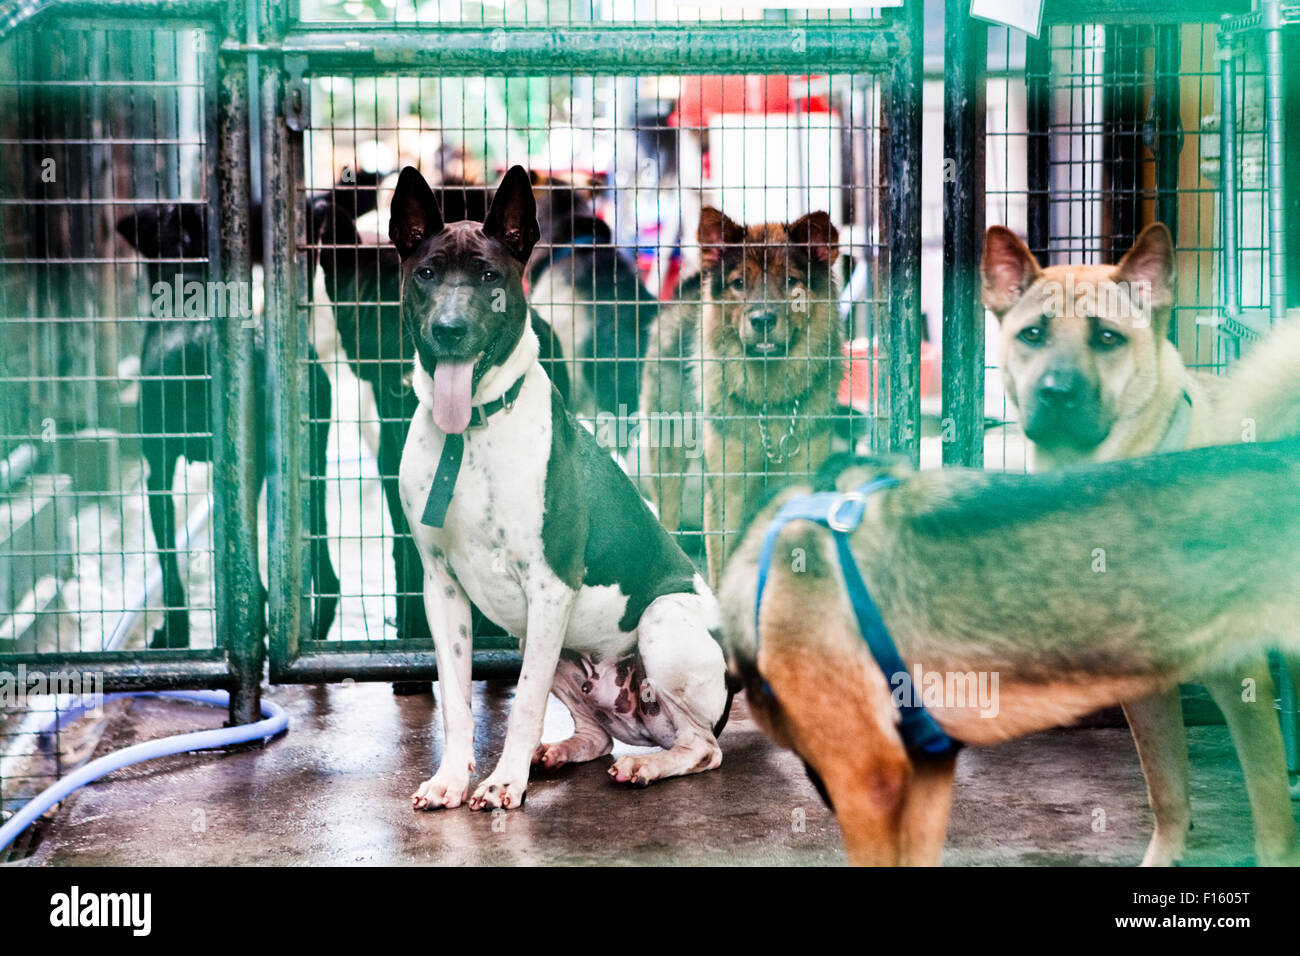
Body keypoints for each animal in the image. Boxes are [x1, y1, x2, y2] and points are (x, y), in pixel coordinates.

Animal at [384, 167, 733, 811]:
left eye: (489, 277)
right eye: (425, 274)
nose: (449, 330)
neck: (472, 431)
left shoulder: (549, 586)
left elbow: (522, 706)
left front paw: (503, 782)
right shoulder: (441, 588)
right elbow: (456, 703)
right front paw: (451, 778)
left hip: (660, 623)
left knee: (702, 747)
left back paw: (648, 765)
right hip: (554, 648)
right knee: (597, 736)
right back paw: (562, 751)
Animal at [639, 209, 842, 582]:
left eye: (790, 281)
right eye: (738, 284)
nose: (762, 320)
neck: (769, 403)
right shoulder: (727, 490)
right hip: (668, 457)